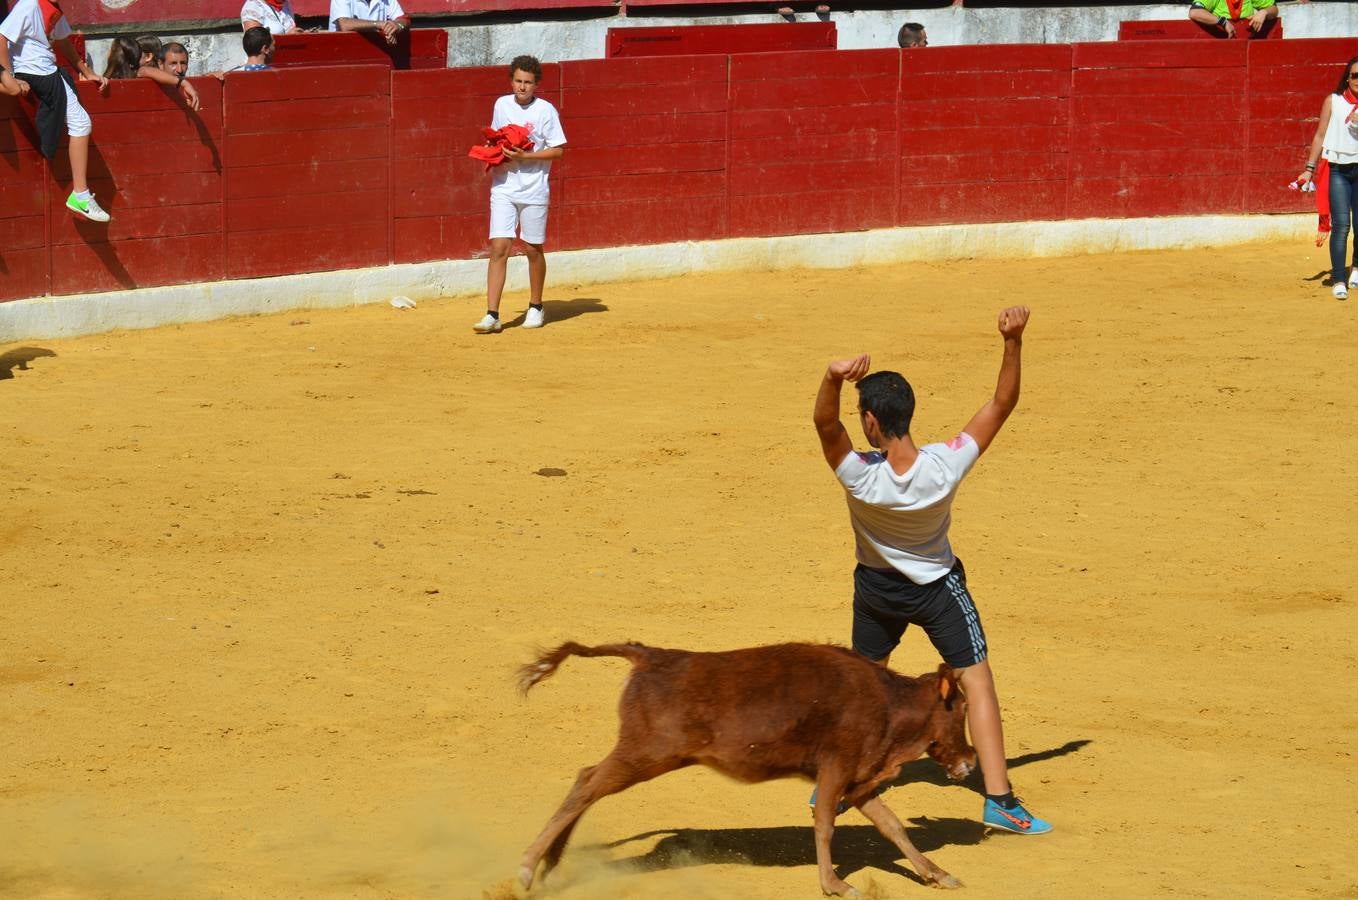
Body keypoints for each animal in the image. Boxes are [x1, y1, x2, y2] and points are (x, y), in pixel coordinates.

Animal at [510, 640, 977, 895]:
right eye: (962, 709)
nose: (971, 759)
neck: (891, 705)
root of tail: (649, 656)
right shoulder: (837, 769)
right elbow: (825, 823)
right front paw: (836, 884)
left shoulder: (859, 779)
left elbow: (892, 826)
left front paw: (938, 875)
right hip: (645, 753)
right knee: (587, 784)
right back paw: (528, 866)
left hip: (645, 756)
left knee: (585, 783)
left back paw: (548, 864)